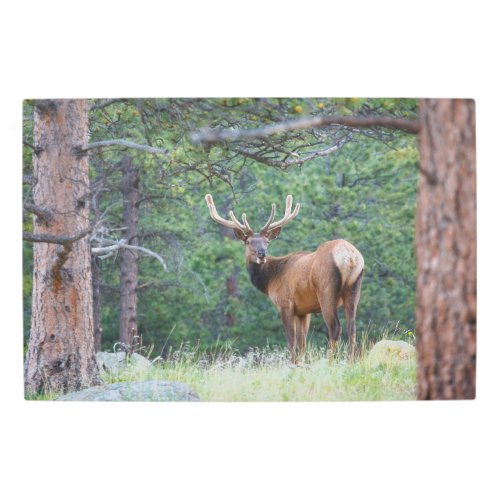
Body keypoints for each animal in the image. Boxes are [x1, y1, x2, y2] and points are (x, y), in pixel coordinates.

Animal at [205, 193, 366, 362]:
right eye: (248, 242)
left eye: (267, 242)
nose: (262, 254)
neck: (270, 280)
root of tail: (351, 257)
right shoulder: (303, 310)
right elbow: (302, 343)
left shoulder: (285, 303)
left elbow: (291, 342)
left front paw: (293, 364)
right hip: (354, 289)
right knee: (352, 328)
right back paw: (350, 361)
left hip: (326, 290)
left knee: (335, 327)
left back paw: (330, 362)